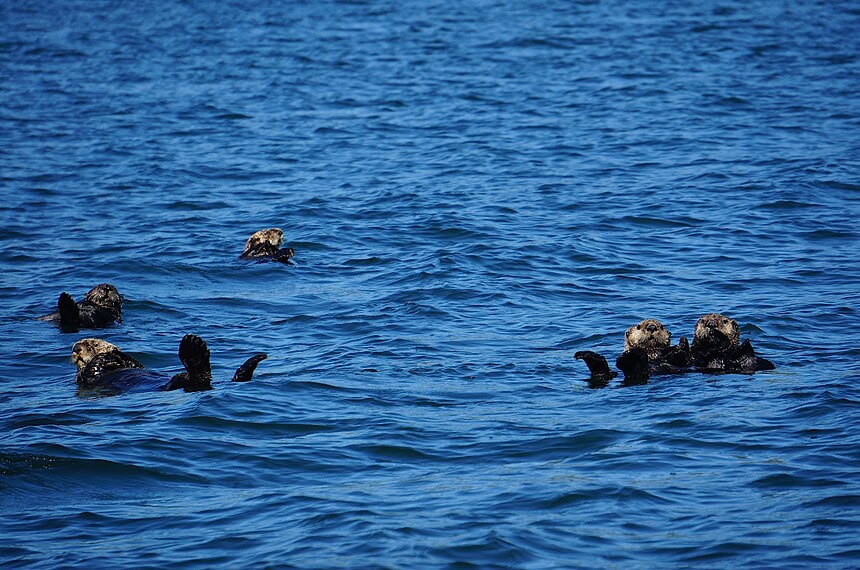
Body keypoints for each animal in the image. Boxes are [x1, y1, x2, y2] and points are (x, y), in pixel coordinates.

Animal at [72, 334, 268, 396]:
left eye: (93, 343)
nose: (76, 349)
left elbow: (136, 364)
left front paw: (118, 354)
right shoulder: (86, 377)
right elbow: (91, 369)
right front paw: (105, 356)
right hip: (175, 383)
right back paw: (194, 348)